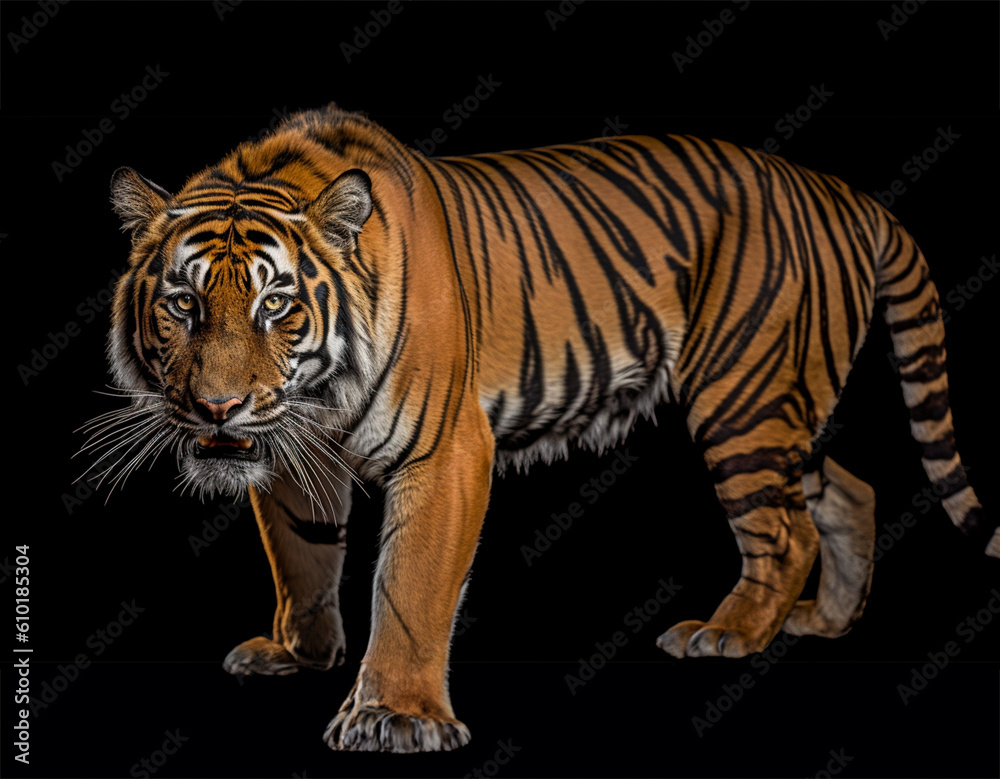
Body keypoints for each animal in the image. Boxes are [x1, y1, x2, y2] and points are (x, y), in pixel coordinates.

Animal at [91, 102, 998, 753]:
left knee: (786, 531)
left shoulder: (448, 450)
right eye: (183, 303)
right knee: (852, 489)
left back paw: (729, 632)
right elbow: (303, 560)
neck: (313, 398)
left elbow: (410, 586)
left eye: (275, 303)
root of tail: (841, 190)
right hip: (786, 407)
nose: (217, 407)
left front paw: (396, 715)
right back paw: (825, 621)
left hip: (745, 397)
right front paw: (299, 654)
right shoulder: (291, 452)